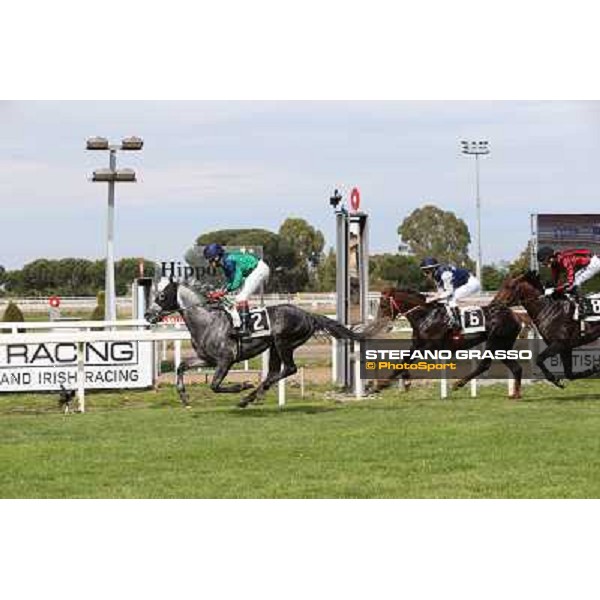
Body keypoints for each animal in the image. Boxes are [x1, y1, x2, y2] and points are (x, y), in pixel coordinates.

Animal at [145, 278, 360, 406]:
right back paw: (250, 397)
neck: (207, 321)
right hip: (274, 347)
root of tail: (308, 315)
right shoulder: (207, 359)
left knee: (289, 369)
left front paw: (243, 385)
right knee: (274, 372)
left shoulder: (225, 359)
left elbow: (214, 385)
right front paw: (183, 396)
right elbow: (181, 366)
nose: (148, 314)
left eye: (162, 295)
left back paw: (248, 395)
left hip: (283, 343)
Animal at [378, 288, 524, 396]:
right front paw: (404, 382)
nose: (384, 325)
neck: (426, 316)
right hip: (503, 346)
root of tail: (515, 315)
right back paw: (515, 394)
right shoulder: (416, 344)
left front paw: (380, 385)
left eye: (383, 305)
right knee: (516, 368)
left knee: (484, 365)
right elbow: (403, 361)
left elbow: (404, 362)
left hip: (495, 343)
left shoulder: (429, 346)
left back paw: (457, 384)